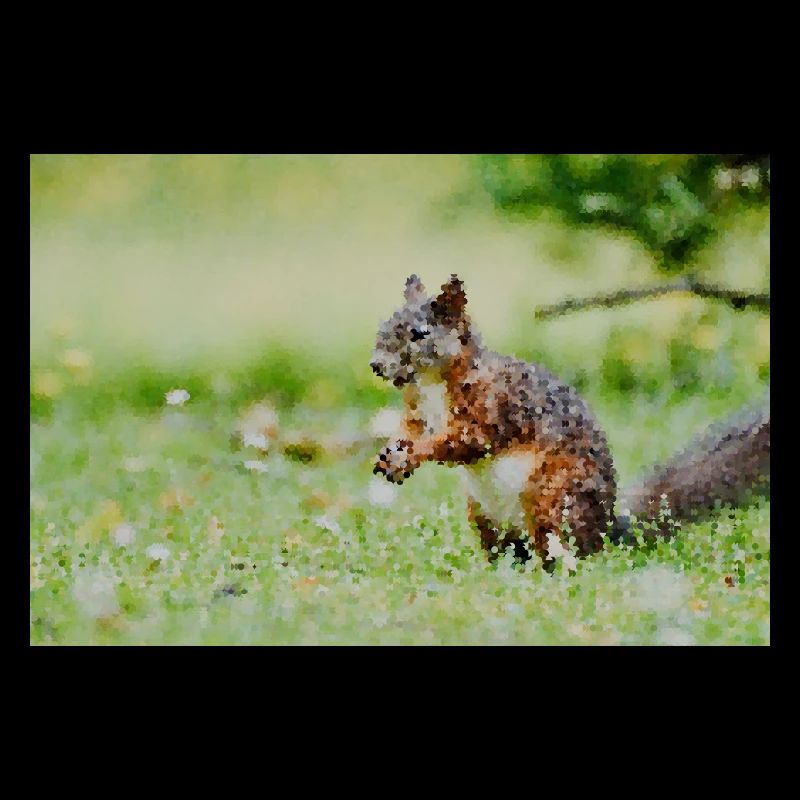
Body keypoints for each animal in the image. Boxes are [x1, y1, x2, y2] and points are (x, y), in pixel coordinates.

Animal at [371, 274, 770, 568]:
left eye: (420, 333)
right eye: (385, 324)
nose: (376, 365)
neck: (432, 384)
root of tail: (607, 530)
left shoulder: (496, 406)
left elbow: (466, 440)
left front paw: (415, 453)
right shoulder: (418, 411)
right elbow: (410, 428)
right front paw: (391, 452)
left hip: (553, 496)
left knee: (561, 548)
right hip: (484, 515)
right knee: (508, 550)